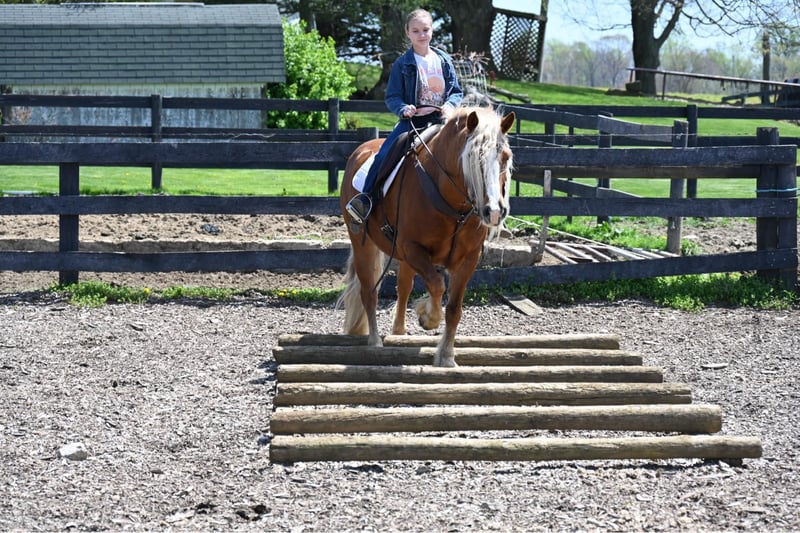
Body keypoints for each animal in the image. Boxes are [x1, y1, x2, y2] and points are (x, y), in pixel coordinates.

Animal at [338, 106, 515, 367]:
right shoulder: (413, 249)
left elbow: (454, 308)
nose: (494, 212)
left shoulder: (468, 259)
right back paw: (375, 341)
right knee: (369, 291)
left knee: (403, 287)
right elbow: (436, 284)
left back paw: (399, 332)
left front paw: (447, 356)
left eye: (505, 156)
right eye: (474, 157)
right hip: (363, 244)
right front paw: (427, 316)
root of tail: (361, 150)